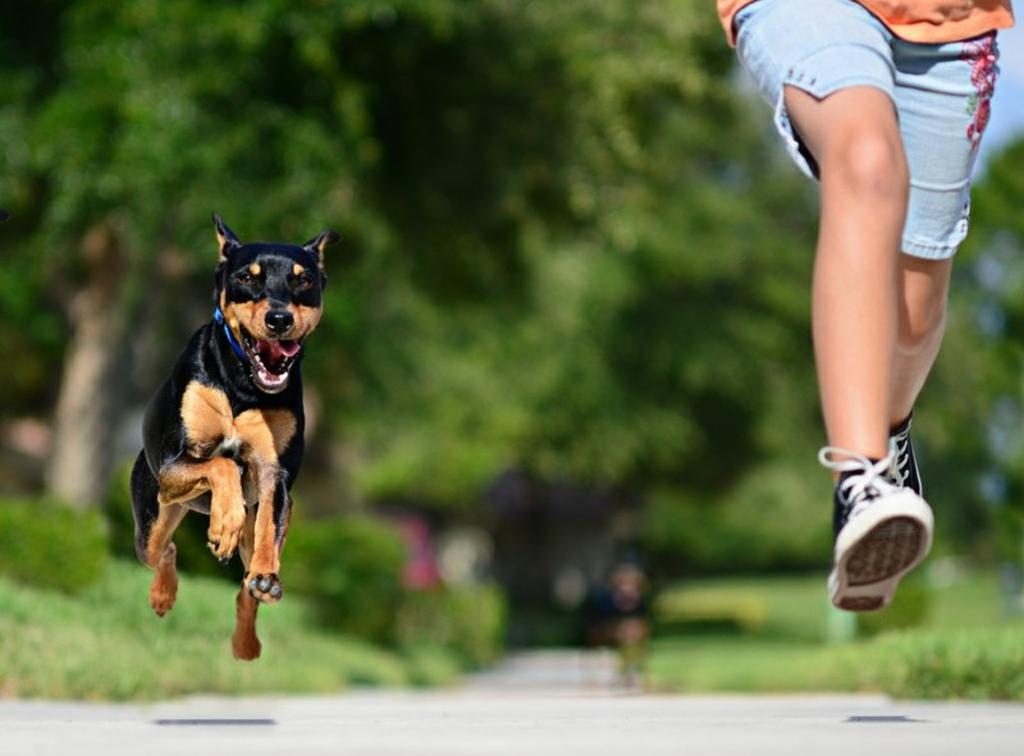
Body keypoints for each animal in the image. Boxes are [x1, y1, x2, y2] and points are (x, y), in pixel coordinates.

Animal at [130, 211, 337, 655]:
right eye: (247, 277)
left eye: (303, 281)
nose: (280, 319)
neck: (244, 383)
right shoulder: (174, 462)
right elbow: (223, 464)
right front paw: (222, 523)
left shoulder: (276, 474)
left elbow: (266, 527)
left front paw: (262, 571)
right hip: (154, 511)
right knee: (164, 548)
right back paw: (164, 594)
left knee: (246, 585)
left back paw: (247, 639)